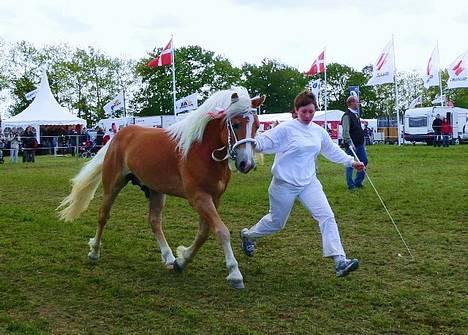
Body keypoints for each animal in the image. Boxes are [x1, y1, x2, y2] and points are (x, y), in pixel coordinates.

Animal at [56, 86, 266, 288]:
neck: (201, 150)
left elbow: (204, 233)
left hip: (156, 190)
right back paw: (94, 253)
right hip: (112, 186)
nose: (247, 164)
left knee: (154, 221)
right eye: (236, 124)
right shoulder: (199, 198)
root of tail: (118, 136)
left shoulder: (214, 198)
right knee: (103, 216)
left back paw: (169, 257)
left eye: (256, 125)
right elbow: (221, 231)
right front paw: (234, 273)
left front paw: (181, 260)